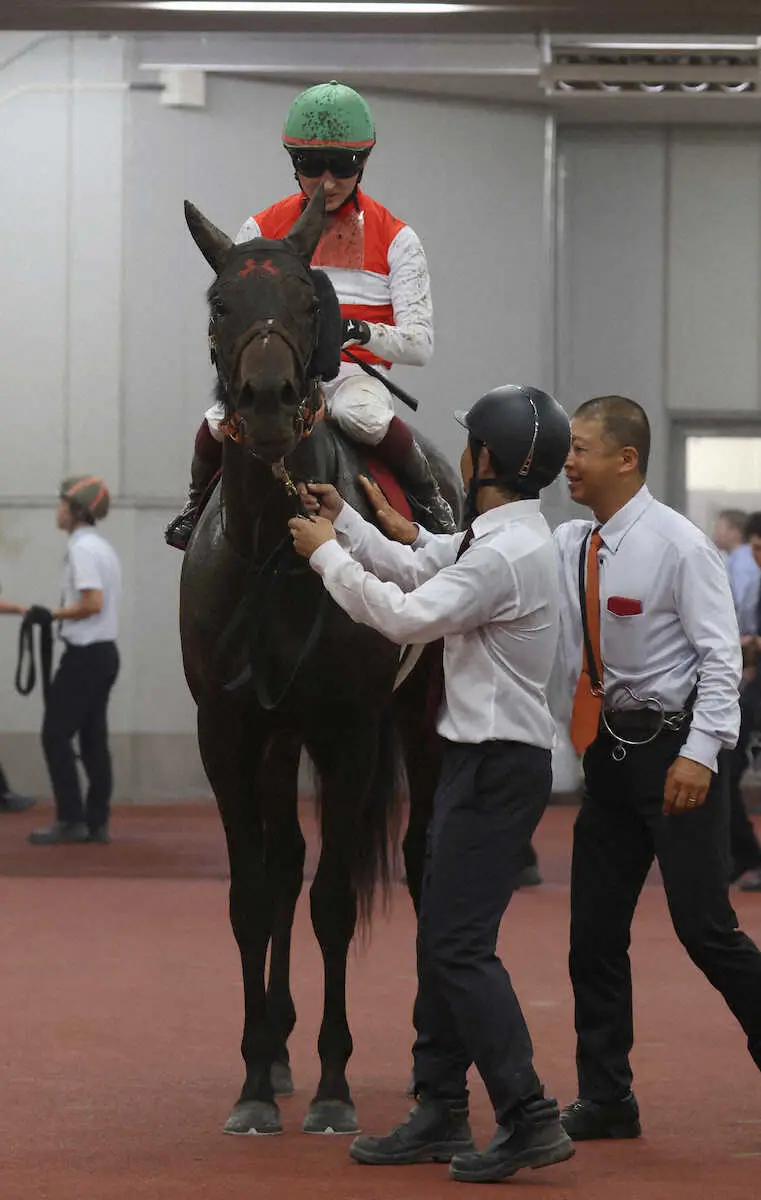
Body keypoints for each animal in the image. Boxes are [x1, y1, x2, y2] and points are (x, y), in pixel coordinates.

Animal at [181, 187, 458, 1132]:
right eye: (219, 304)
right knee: (284, 866)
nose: (266, 401)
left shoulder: (348, 730)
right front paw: (255, 1080)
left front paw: (335, 1085)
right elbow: (252, 894)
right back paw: (278, 1049)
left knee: (419, 858)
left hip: (420, 718)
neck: (273, 548)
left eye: (310, 301)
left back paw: (426, 1051)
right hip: (279, 737)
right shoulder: (230, 729)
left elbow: (334, 902)